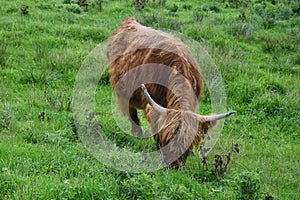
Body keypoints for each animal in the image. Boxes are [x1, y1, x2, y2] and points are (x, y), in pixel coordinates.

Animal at [106, 18, 236, 169]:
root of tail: (130, 21)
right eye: (167, 140)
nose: (175, 166)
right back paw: (137, 132)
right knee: (132, 111)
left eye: (188, 145)